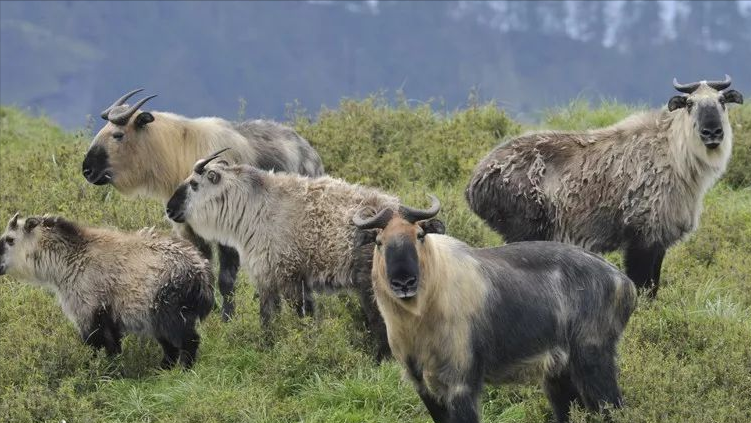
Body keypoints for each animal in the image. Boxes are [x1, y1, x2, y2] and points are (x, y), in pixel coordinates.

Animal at [0, 214, 213, 370]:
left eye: (10, 239)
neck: (72, 258)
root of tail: (202, 273)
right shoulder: (108, 317)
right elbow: (113, 347)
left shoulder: (88, 311)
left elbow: (96, 346)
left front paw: (94, 370)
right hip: (157, 317)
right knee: (171, 347)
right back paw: (162, 369)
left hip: (170, 312)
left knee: (189, 341)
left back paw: (185, 369)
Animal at [356, 195, 636, 423]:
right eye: (379, 242)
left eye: (419, 235)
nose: (404, 282)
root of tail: (624, 282)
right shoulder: (423, 387)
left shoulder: (461, 386)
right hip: (559, 375)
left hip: (594, 361)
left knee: (614, 408)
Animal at [468, 75, 744, 298]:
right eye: (690, 104)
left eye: (722, 101)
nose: (712, 132)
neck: (674, 155)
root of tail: (475, 182)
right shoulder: (641, 238)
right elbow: (643, 286)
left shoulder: (658, 241)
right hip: (526, 231)